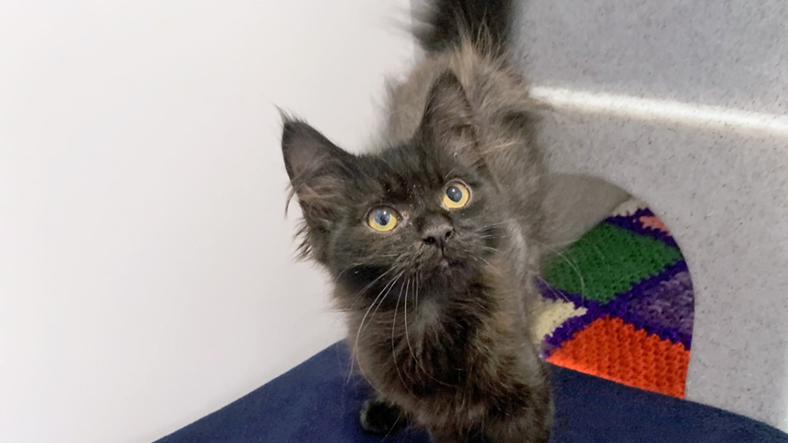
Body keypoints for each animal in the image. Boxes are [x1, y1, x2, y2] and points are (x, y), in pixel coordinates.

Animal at [280, 0, 552, 443]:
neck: (430, 318)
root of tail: (457, 50)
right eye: (383, 219)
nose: (439, 232)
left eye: (455, 194)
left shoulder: (526, 390)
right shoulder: (443, 419)